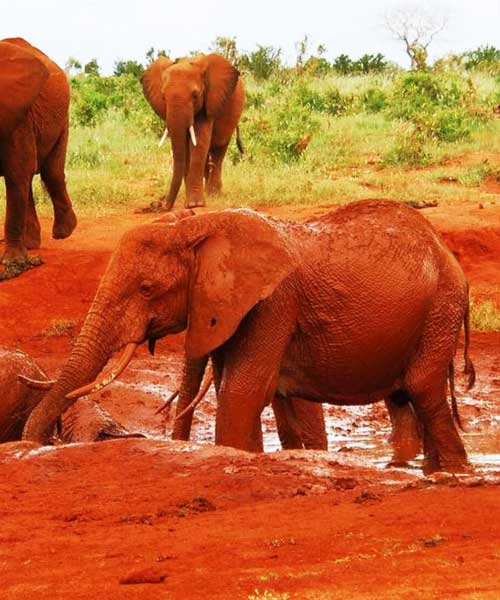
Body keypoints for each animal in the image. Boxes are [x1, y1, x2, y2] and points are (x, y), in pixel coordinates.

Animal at [0, 38, 77, 278]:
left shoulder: (18, 115)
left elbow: (17, 174)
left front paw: (13, 263)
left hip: (62, 120)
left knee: (50, 173)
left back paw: (63, 232)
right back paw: (31, 244)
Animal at [24, 202, 476, 474]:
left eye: (147, 288)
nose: (33, 445)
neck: (199, 225)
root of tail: (445, 250)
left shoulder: (273, 303)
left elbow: (243, 391)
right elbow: (255, 392)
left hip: (441, 307)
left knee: (422, 388)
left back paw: (454, 472)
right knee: (404, 396)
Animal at [142, 52, 245, 211]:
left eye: (195, 95)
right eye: (163, 97)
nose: (160, 205)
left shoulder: (208, 100)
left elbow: (199, 142)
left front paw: (195, 205)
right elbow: (185, 148)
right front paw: (190, 202)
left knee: (219, 149)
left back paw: (213, 194)